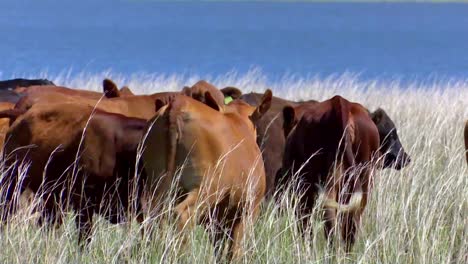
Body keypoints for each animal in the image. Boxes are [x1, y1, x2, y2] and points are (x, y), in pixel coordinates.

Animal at [276, 95, 382, 252]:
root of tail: (340, 103)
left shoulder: (301, 189)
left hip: (329, 178)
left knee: (329, 217)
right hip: (364, 178)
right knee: (351, 222)